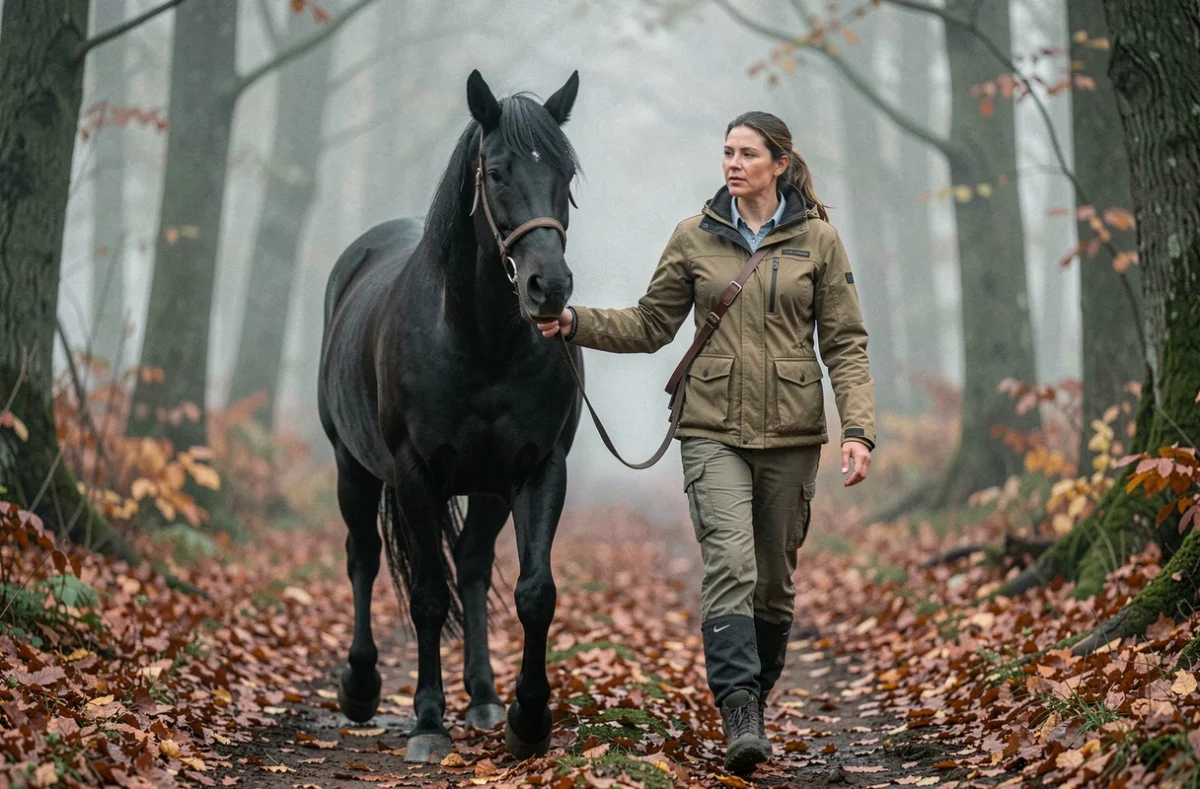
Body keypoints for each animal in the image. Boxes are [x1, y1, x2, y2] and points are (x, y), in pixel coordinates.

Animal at [317, 70, 583, 763]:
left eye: (567, 173)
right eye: (494, 171)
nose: (549, 288)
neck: (481, 342)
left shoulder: (538, 468)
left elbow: (534, 593)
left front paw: (528, 717)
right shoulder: (415, 474)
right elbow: (427, 597)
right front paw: (429, 723)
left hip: (487, 488)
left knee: (471, 564)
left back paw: (485, 696)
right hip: (353, 466)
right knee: (364, 556)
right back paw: (362, 685)